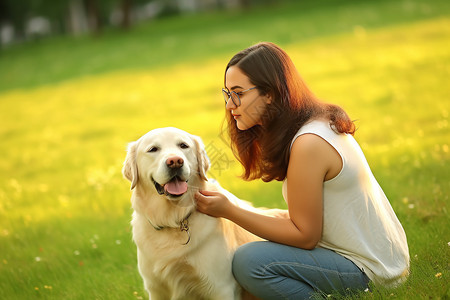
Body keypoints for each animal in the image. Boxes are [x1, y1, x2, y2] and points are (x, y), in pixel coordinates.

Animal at [123, 127, 282, 300]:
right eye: (153, 149)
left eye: (183, 146)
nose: (175, 161)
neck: (174, 218)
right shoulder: (156, 289)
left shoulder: (221, 287)